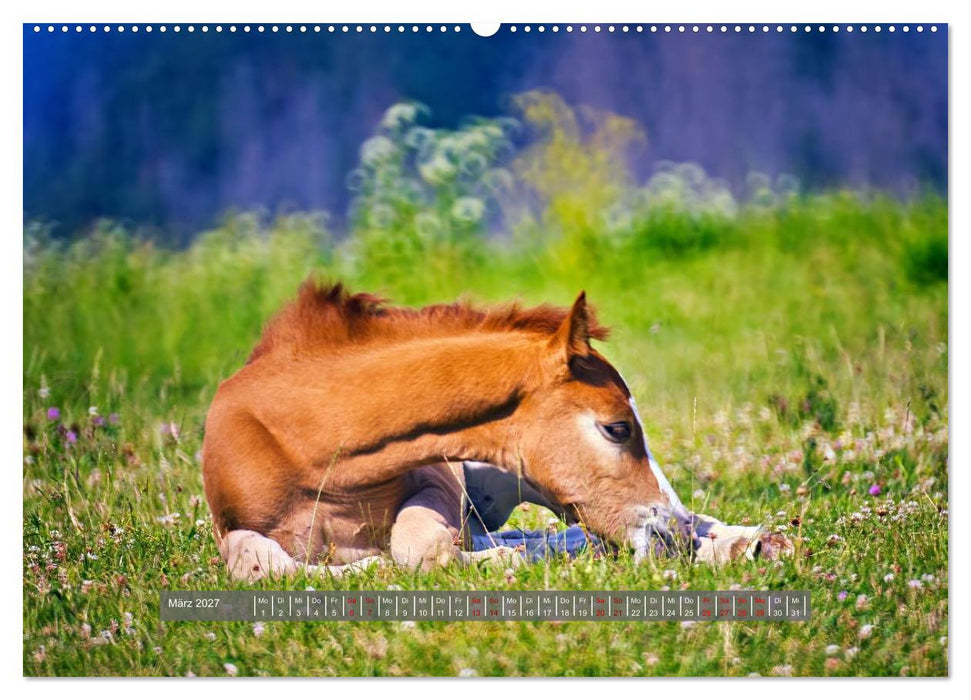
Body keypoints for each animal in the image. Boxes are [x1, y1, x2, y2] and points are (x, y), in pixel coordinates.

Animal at [201, 281, 791, 580]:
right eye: (617, 428)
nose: (670, 534)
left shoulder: (437, 480)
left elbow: (416, 544)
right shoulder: (231, 524)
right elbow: (258, 565)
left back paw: (741, 543)